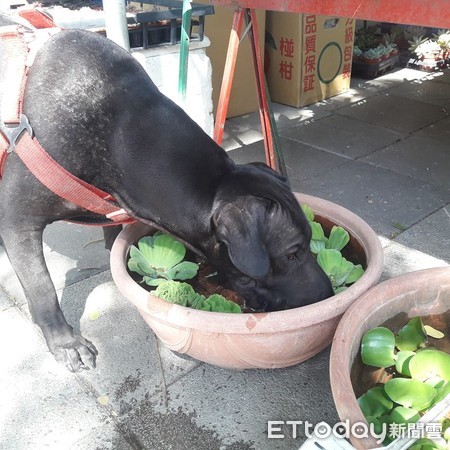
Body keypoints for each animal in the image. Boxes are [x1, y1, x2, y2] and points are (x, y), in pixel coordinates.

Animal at [0, 29, 330, 372]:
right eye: (292, 254)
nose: (328, 292)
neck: (116, 132)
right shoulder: (17, 222)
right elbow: (42, 287)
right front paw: (65, 342)